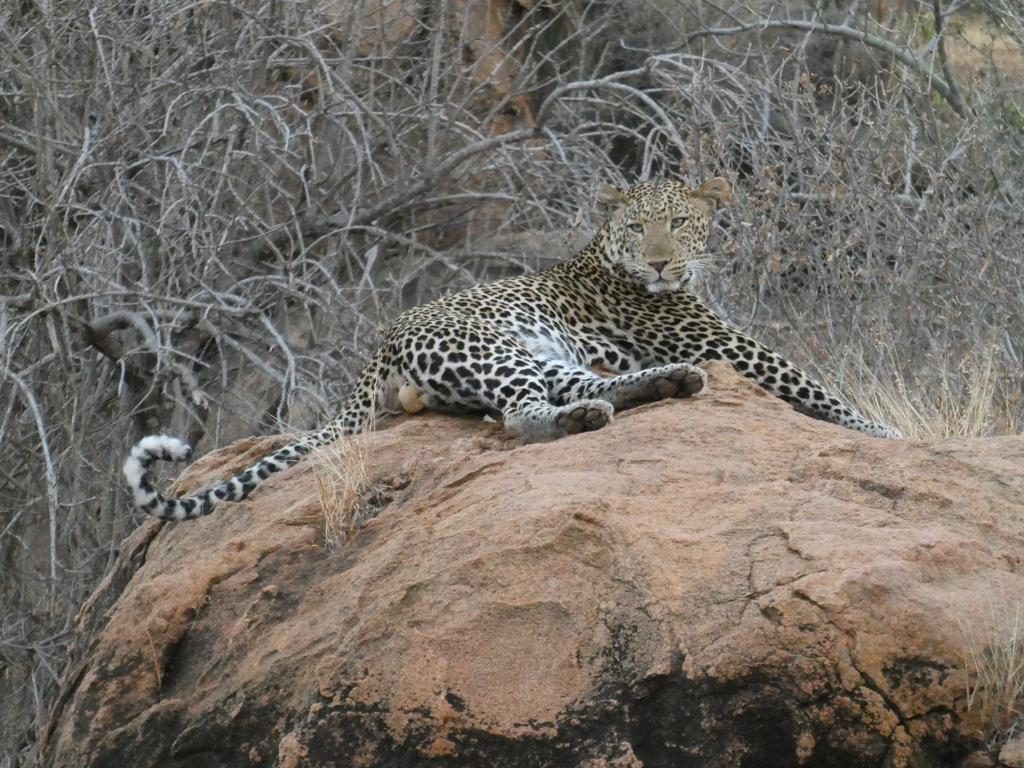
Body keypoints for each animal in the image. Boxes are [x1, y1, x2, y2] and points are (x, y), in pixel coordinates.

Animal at [123, 177, 901, 520]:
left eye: (680, 223)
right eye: (640, 228)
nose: (658, 263)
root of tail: (381, 342)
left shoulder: (711, 337)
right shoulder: (727, 341)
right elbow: (813, 385)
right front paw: (881, 431)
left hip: (542, 353)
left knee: (572, 391)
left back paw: (662, 385)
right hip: (499, 348)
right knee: (524, 418)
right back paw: (596, 414)